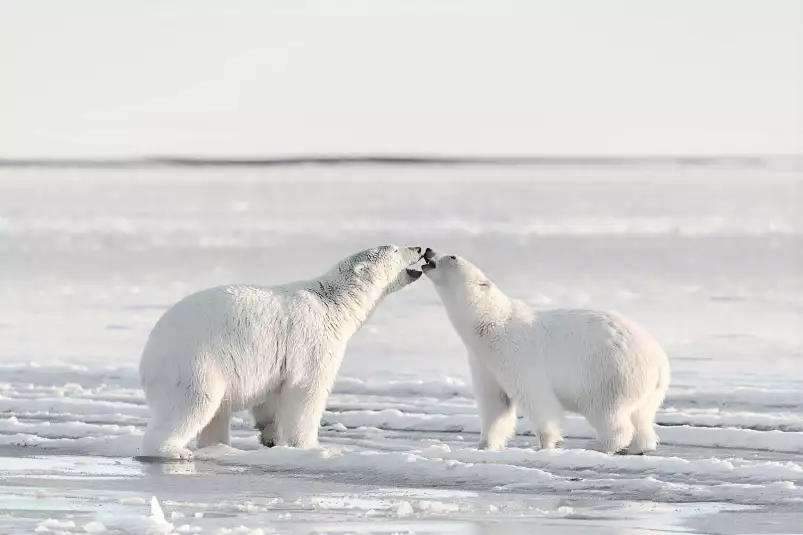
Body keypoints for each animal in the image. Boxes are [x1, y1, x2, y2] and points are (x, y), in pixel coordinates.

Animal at [137, 247, 428, 460]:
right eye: (394, 248)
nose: (419, 247)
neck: (333, 303)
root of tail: (148, 354)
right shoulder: (313, 340)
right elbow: (307, 392)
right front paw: (313, 447)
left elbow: (271, 397)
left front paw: (271, 437)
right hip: (195, 364)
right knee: (192, 406)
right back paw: (173, 451)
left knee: (215, 414)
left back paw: (217, 446)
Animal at [420, 249, 672, 454]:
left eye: (452, 256)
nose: (428, 250)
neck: (490, 324)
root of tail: (660, 361)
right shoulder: (484, 362)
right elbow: (495, 403)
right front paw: (485, 444)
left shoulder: (517, 355)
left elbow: (537, 399)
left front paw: (546, 444)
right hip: (647, 388)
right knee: (642, 416)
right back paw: (639, 446)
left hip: (611, 374)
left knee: (609, 413)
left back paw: (599, 445)